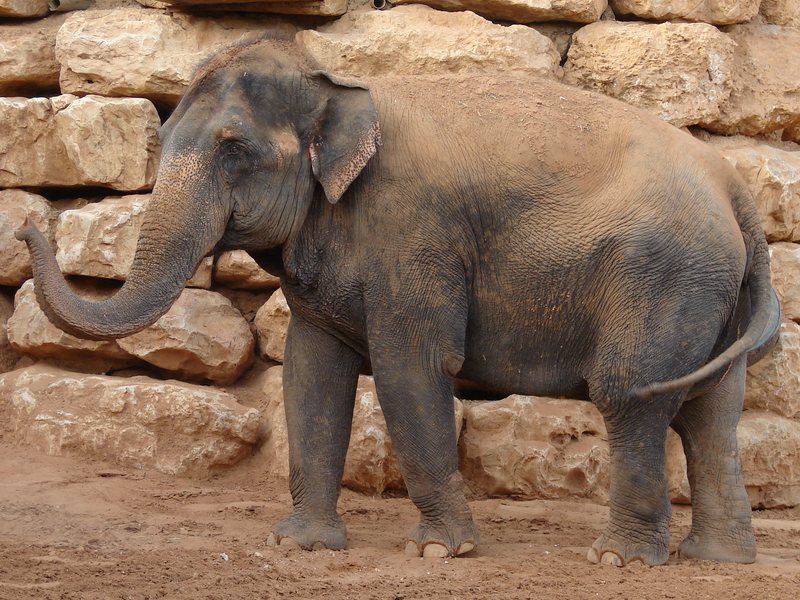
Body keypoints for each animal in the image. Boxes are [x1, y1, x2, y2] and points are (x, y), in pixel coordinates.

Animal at [17, 33, 780, 566]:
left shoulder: (412, 235)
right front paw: (298, 547)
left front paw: (440, 552)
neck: (339, 84)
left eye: (233, 150)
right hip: (711, 289)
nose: (27, 227)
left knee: (634, 396)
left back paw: (619, 560)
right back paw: (716, 559)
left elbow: (410, 368)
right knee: (712, 414)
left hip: (663, 278)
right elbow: (310, 375)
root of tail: (735, 189)